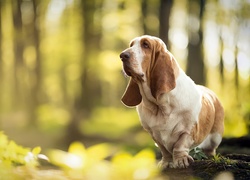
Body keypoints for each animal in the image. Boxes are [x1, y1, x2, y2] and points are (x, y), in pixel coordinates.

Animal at [119, 35, 225, 169]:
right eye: (131, 45)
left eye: (146, 45)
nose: (122, 55)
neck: (160, 107)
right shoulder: (154, 134)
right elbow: (164, 150)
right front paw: (165, 163)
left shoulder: (188, 130)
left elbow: (179, 146)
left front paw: (181, 161)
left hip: (215, 137)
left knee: (211, 148)